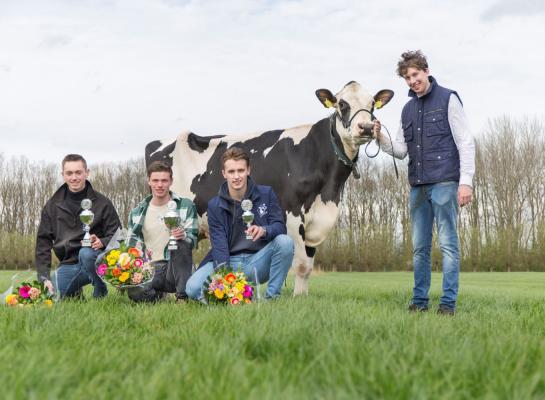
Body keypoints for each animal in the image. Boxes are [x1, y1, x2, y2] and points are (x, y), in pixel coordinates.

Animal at [144, 82, 392, 294]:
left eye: (372, 103)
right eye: (342, 104)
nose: (366, 127)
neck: (329, 191)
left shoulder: (315, 221)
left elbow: (309, 266)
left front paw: (303, 297)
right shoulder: (291, 214)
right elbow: (301, 265)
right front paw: (297, 299)